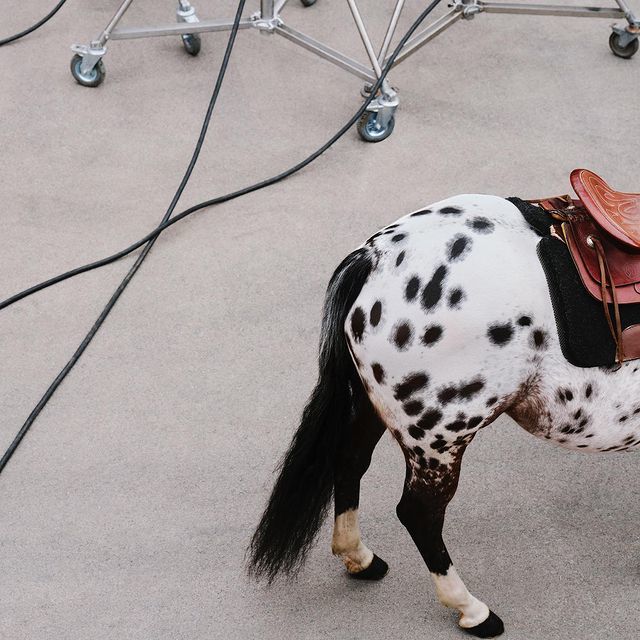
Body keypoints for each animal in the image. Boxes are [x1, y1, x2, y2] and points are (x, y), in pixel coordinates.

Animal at [246, 189, 640, 636]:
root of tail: (373, 257)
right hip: (441, 435)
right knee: (420, 513)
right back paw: (472, 610)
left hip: (374, 405)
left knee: (348, 461)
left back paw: (360, 558)